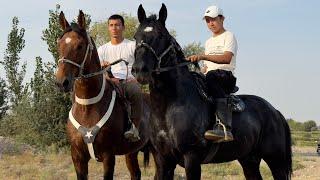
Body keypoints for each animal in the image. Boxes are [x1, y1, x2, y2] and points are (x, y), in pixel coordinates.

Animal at [55, 10, 151, 179]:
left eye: (80, 46)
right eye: (59, 44)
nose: (61, 82)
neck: (88, 106)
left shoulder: (108, 155)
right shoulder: (77, 157)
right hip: (131, 152)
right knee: (136, 173)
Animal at [131, 3, 292, 179]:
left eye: (160, 35)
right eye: (135, 36)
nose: (139, 70)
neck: (169, 107)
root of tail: (275, 112)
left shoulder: (192, 158)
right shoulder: (162, 160)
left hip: (275, 161)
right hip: (249, 160)